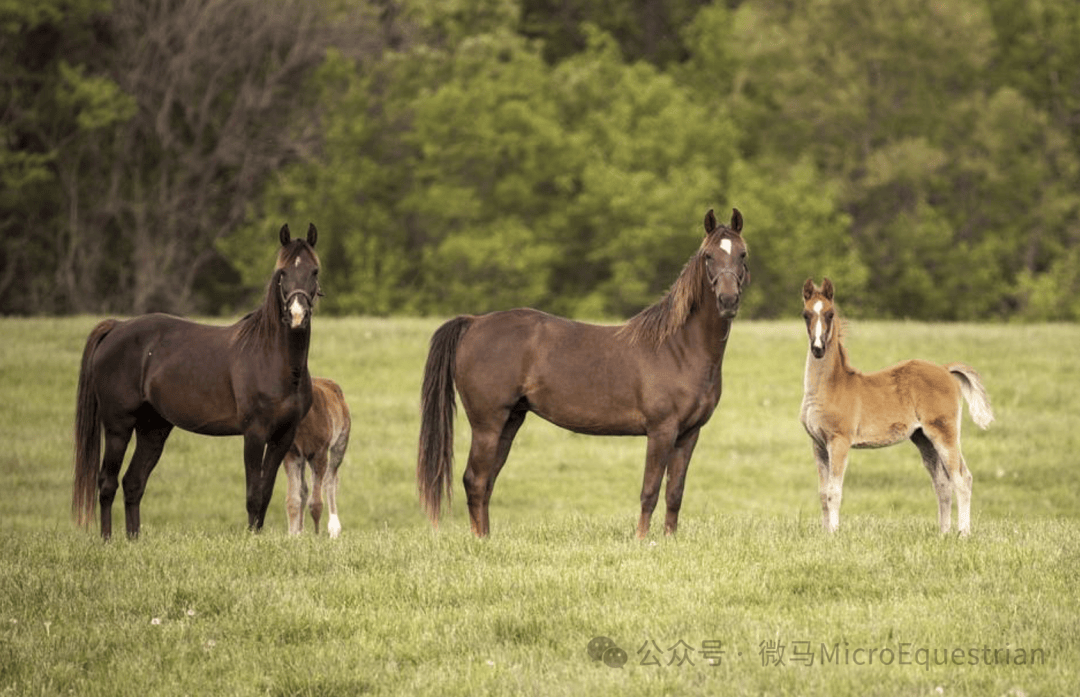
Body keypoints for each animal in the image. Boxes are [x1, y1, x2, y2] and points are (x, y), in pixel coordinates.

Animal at [72, 222, 319, 538]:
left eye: (314, 271)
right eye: (282, 273)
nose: (297, 315)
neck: (273, 359)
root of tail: (116, 327)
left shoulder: (283, 436)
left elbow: (264, 493)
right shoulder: (254, 433)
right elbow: (253, 494)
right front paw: (251, 539)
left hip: (153, 429)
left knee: (133, 483)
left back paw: (133, 540)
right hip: (118, 427)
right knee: (107, 483)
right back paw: (107, 540)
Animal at [285, 378, 352, 535]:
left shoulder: (319, 453)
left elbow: (316, 502)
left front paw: (317, 535)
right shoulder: (291, 454)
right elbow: (293, 499)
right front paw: (292, 535)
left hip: (340, 443)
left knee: (330, 480)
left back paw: (334, 529)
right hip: (303, 458)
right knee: (304, 489)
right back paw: (300, 531)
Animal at [416, 206, 747, 538]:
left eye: (742, 254)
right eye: (708, 256)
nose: (728, 300)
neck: (678, 348)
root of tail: (474, 322)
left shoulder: (689, 434)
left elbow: (674, 493)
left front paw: (669, 540)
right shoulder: (661, 430)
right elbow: (650, 491)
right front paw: (642, 540)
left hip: (510, 421)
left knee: (486, 482)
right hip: (487, 424)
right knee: (475, 480)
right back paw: (481, 541)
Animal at [799, 275, 989, 533]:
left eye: (830, 314)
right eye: (805, 314)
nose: (818, 348)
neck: (831, 387)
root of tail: (944, 369)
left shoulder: (839, 441)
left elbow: (834, 492)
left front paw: (835, 534)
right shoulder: (818, 444)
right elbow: (822, 494)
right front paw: (825, 534)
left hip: (944, 433)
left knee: (962, 478)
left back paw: (963, 533)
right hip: (923, 438)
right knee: (942, 484)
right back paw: (943, 533)